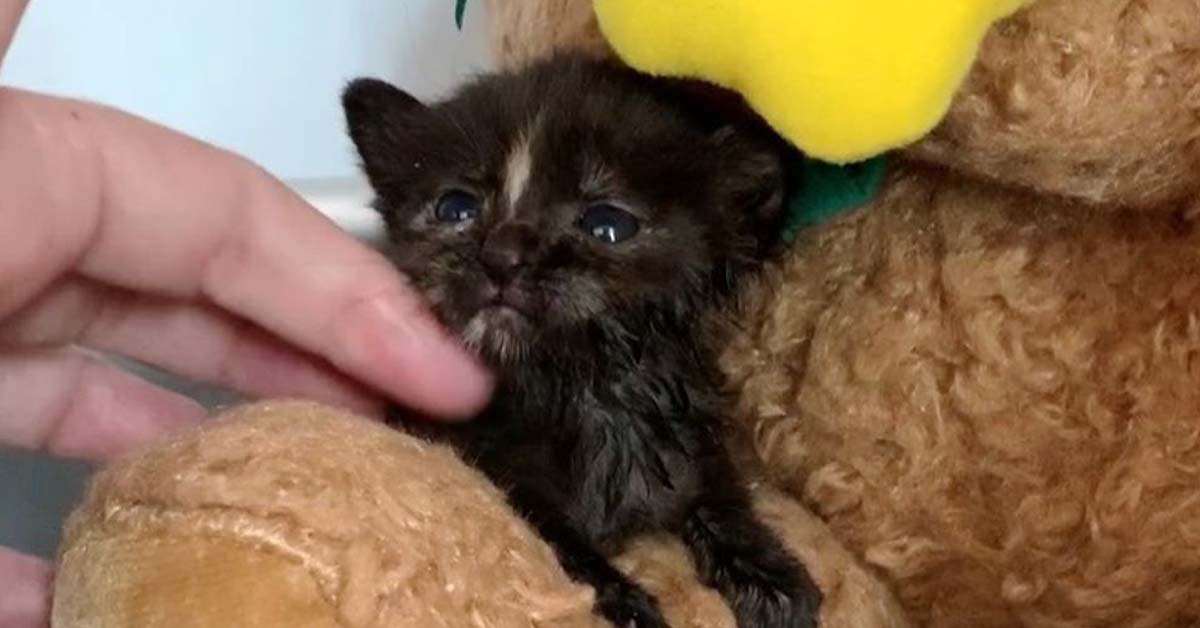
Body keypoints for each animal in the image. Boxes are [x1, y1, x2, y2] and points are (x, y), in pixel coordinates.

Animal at [343, 56, 820, 624]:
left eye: (607, 223)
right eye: (455, 208)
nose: (501, 255)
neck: (581, 387)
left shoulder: (685, 438)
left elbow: (718, 495)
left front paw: (767, 573)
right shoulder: (489, 465)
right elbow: (556, 542)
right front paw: (625, 600)